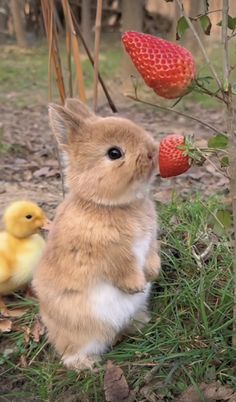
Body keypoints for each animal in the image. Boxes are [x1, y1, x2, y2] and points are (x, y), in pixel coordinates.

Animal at [32, 98, 160, 370]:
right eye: (114, 153)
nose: (152, 152)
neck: (107, 204)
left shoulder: (150, 242)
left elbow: (152, 256)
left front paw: (152, 274)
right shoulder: (112, 254)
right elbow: (123, 268)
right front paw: (136, 286)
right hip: (81, 332)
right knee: (72, 351)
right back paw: (86, 365)